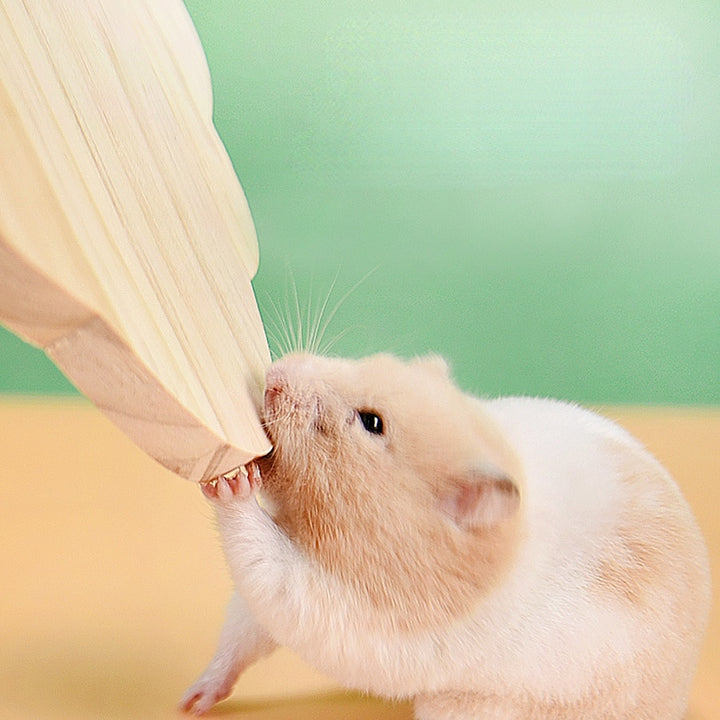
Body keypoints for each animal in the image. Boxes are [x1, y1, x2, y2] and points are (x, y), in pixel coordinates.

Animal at [180, 352, 711, 719]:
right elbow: (241, 634)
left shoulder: (333, 607)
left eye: (372, 422)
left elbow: (264, 569)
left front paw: (229, 485)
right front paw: (192, 701)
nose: (274, 372)